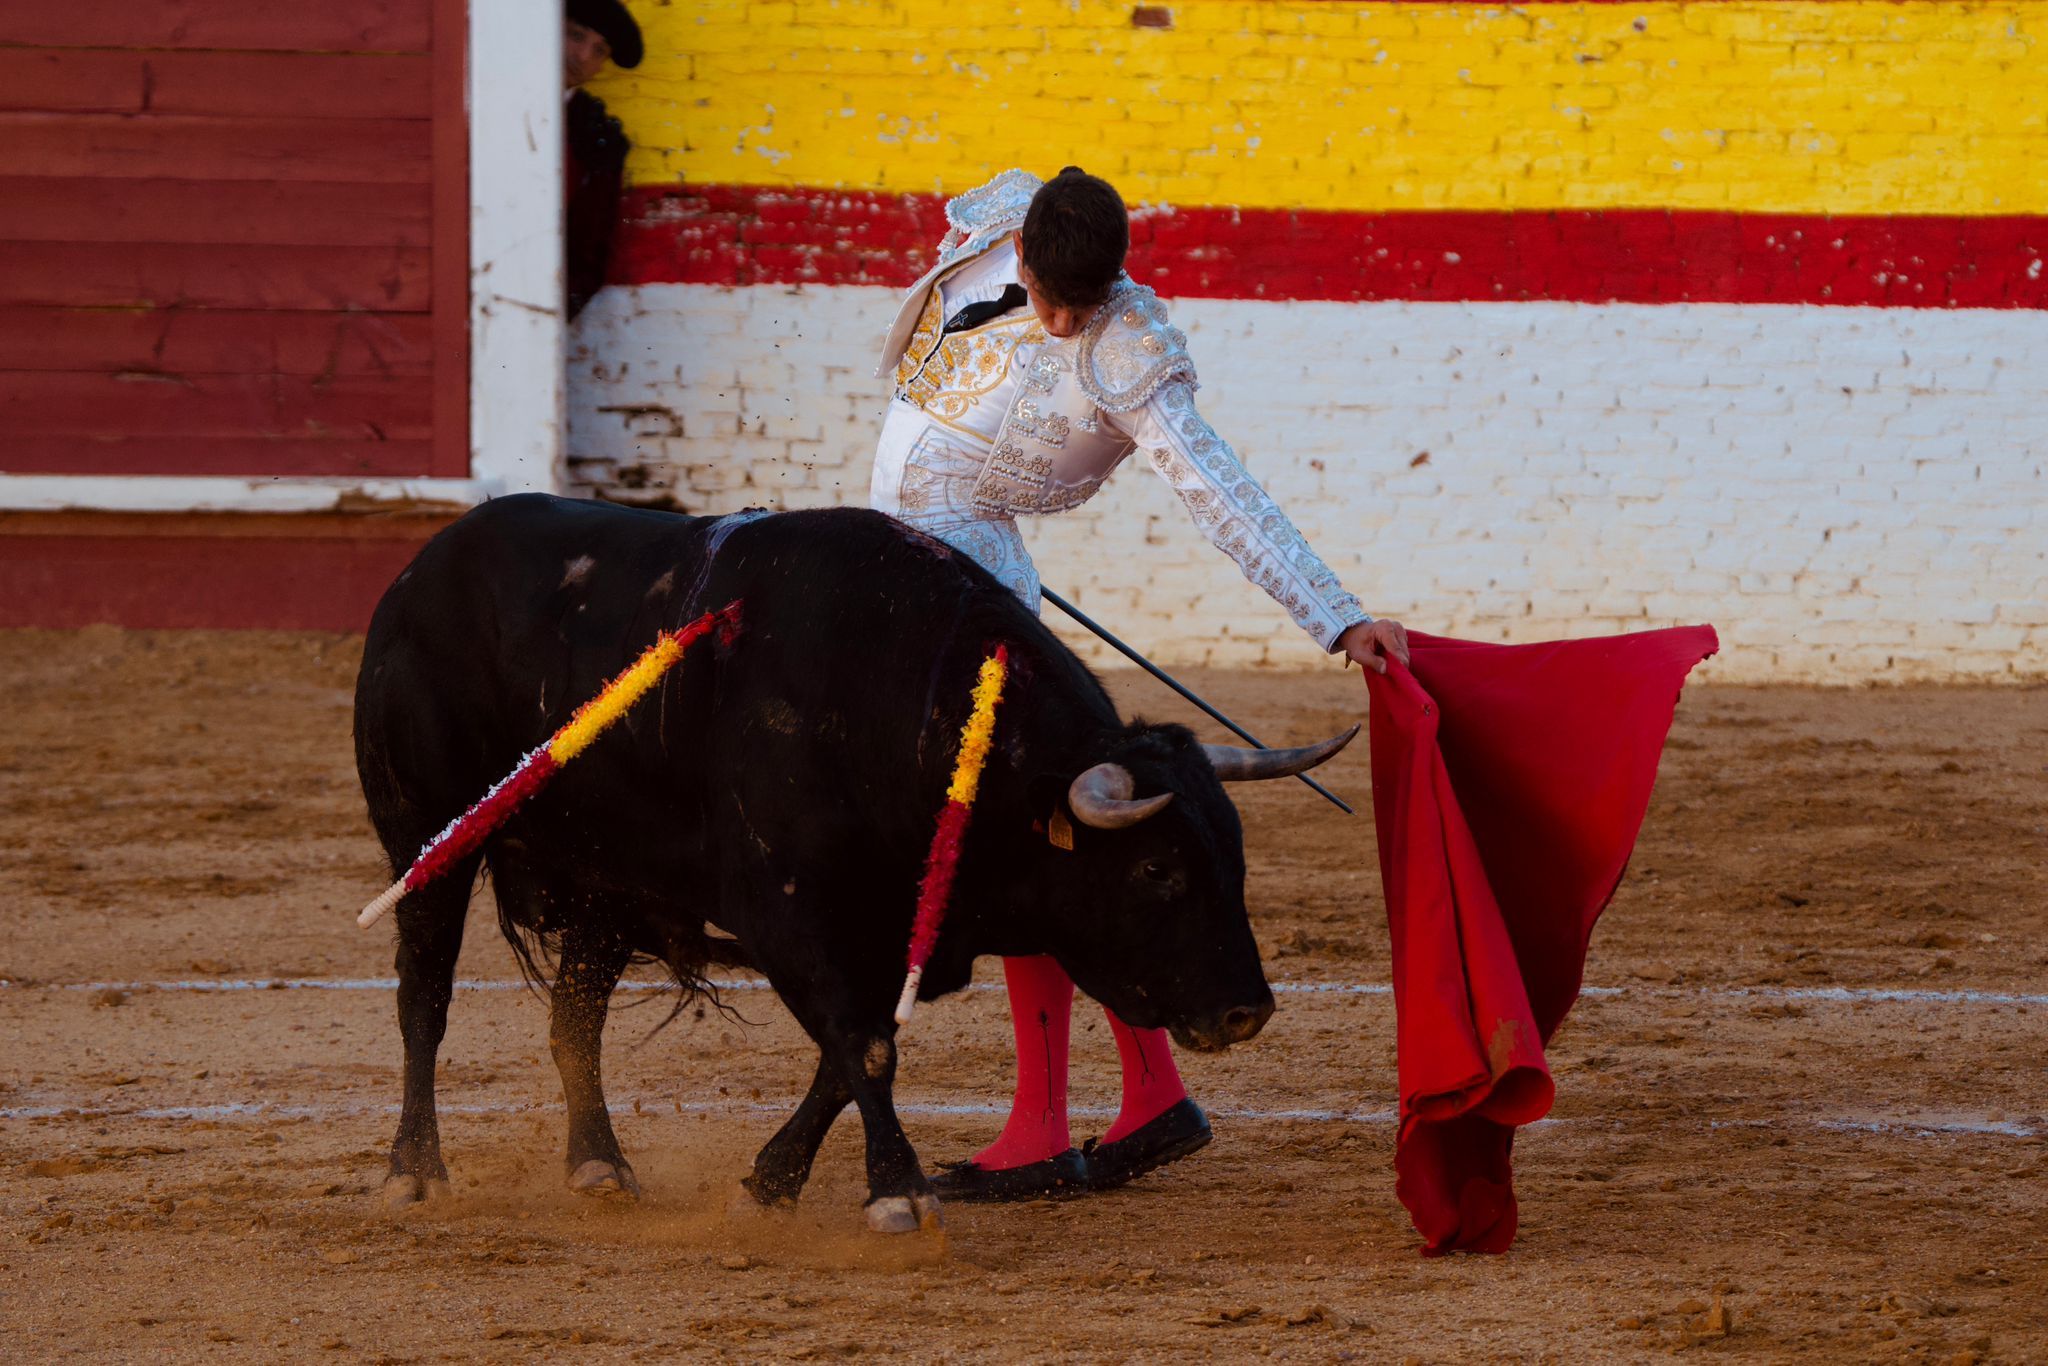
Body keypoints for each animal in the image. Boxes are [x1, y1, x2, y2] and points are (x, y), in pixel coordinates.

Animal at [358, 497, 1351, 1236]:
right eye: (1156, 871)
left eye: (1233, 858)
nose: (1248, 1010)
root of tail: (419, 570)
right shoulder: (790, 917)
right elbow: (864, 1044)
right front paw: (898, 1195)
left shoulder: (892, 937)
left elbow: (848, 1056)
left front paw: (769, 1185)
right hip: (425, 843)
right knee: (424, 1000)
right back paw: (415, 1171)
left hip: (608, 884)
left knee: (574, 1019)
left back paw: (599, 1165)